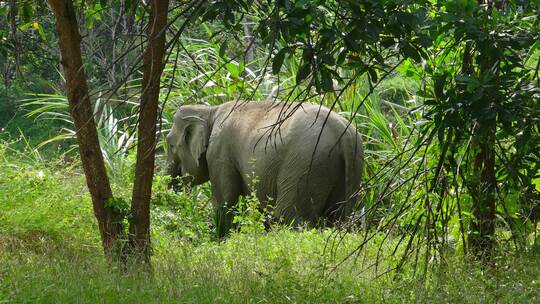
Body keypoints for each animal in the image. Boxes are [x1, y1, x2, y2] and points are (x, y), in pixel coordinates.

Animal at [167, 101, 364, 236]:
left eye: (170, 144)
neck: (210, 111)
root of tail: (344, 134)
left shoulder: (220, 153)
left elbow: (225, 202)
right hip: (347, 168)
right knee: (335, 217)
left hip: (305, 165)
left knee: (289, 216)